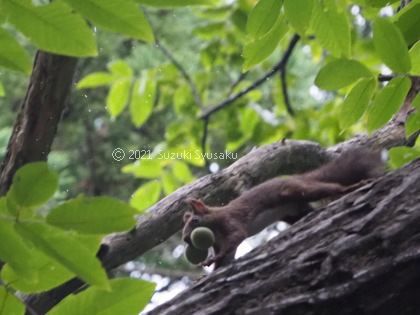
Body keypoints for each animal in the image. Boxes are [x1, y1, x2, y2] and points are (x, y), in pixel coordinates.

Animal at [182, 148, 386, 270]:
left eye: (195, 220)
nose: (184, 239)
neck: (215, 228)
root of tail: (301, 177)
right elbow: (225, 259)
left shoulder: (230, 221)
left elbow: (236, 237)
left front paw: (212, 260)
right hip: (294, 211)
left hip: (296, 190)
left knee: (330, 188)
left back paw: (353, 187)